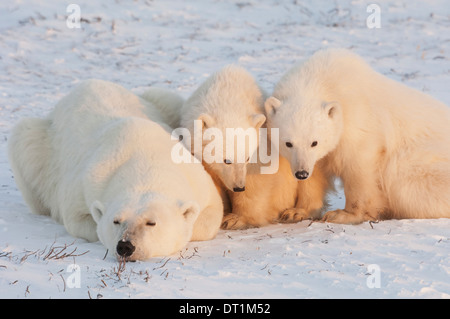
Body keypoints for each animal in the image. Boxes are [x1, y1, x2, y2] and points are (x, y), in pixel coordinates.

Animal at [8, 79, 223, 262]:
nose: (126, 246)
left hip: (159, 103)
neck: (144, 160)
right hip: (41, 145)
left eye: (151, 222)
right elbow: (78, 219)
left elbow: (211, 214)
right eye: (116, 221)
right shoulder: (87, 183)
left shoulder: (195, 178)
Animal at [179, 65, 330, 230]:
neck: (227, 97)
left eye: (246, 158)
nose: (239, 187)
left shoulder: (261, 147)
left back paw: (295, 212)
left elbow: (256, 181)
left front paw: (235, 219)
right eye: (227, 160)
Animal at [266, 49, 450, 225]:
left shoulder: (359, 121)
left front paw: (343, 215)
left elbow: (358, 168)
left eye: (314, 142)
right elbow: (316, 173)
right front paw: (296, 212)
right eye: (288, 143)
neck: (320, 78)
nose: (301, 173)